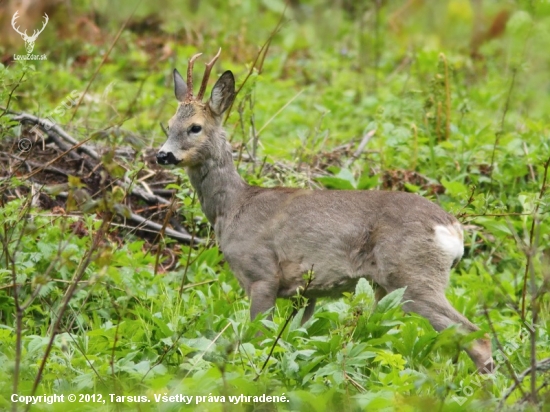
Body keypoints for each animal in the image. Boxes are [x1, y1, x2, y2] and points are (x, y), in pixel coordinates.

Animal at [155, 50, 496, 372]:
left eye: (195, 127)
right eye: (168, 125)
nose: (163, 155)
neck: (234, 207)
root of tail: (453, 229)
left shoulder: (261, 274)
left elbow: (259, 339)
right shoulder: (306, 293)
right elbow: (293, 339)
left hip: (413, 275)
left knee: (477, 337)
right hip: (391, 286)